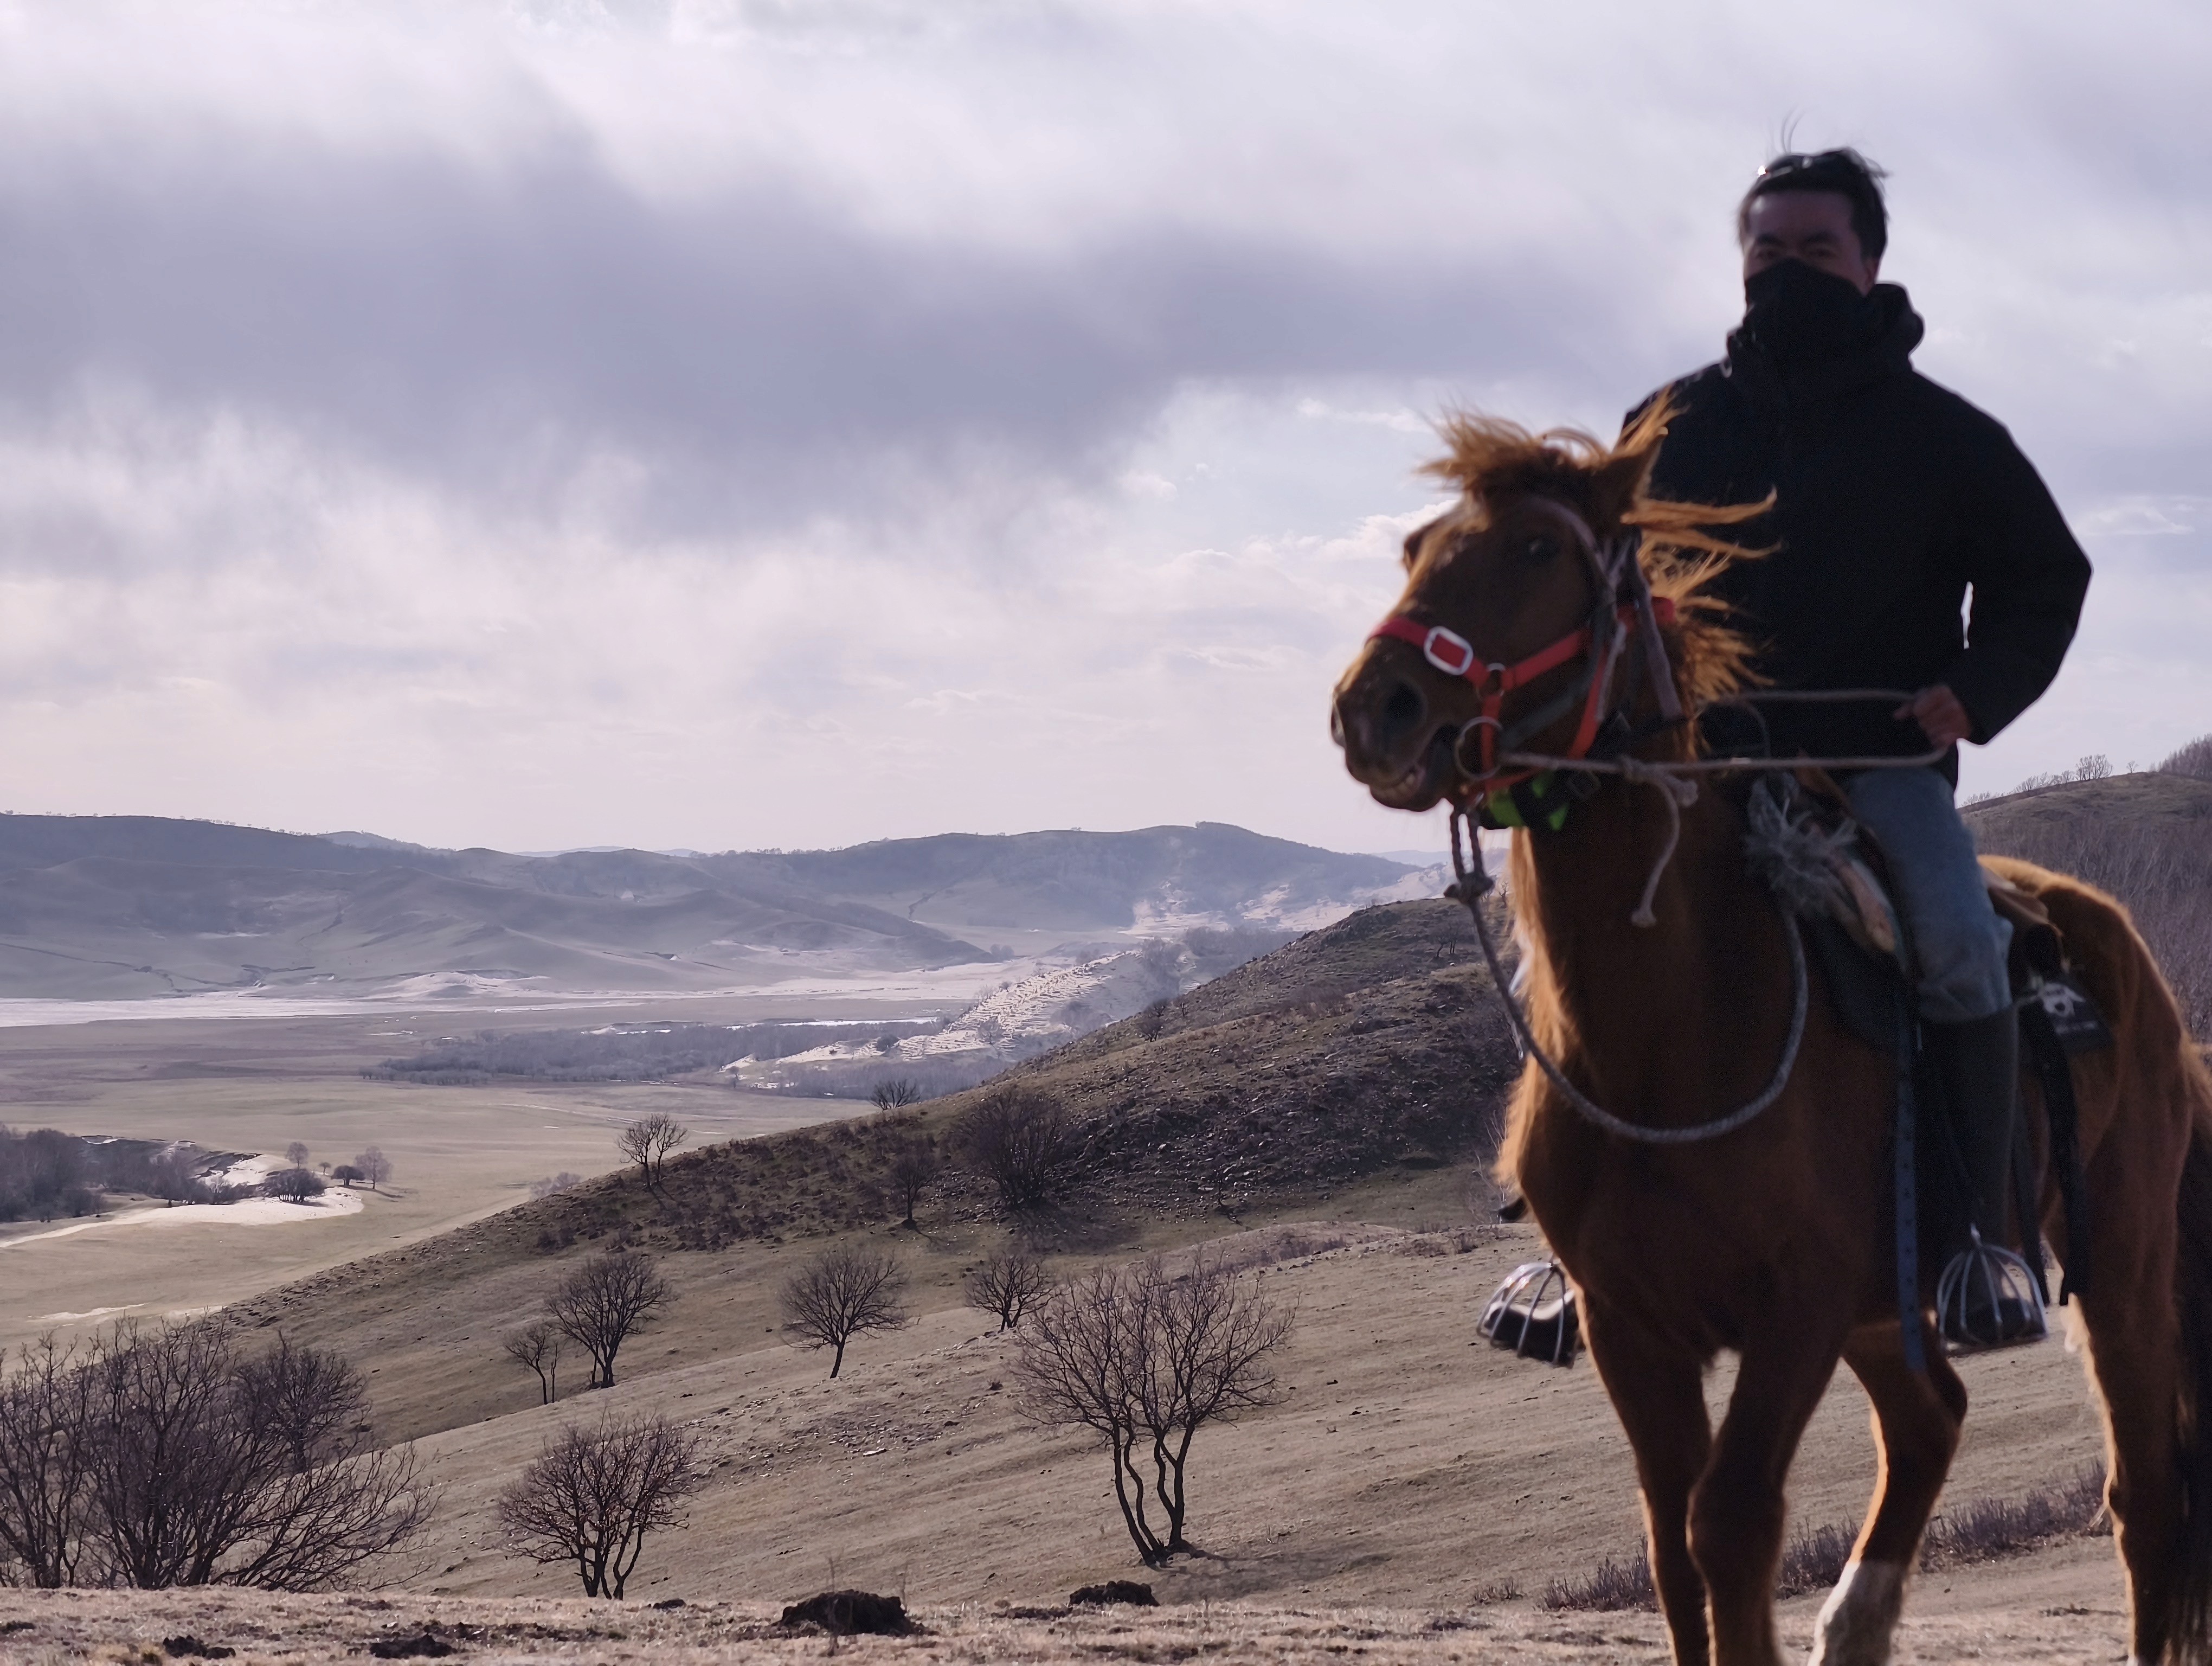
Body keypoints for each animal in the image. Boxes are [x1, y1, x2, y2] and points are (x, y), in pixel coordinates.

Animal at [1329, 401, 2212, 1666]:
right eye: (1414, 548)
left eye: (1538, 551)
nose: (1376, 708)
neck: (1667, 1037)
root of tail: (2118, 947)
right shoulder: (1631, 1326)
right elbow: (1671, 1546)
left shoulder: (1794, 1309)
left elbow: (1732, 1526)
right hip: (1887, 1305)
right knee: (1932, 1419)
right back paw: (1854, 1624)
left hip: (2122, 1264)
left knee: (2141, 1495)